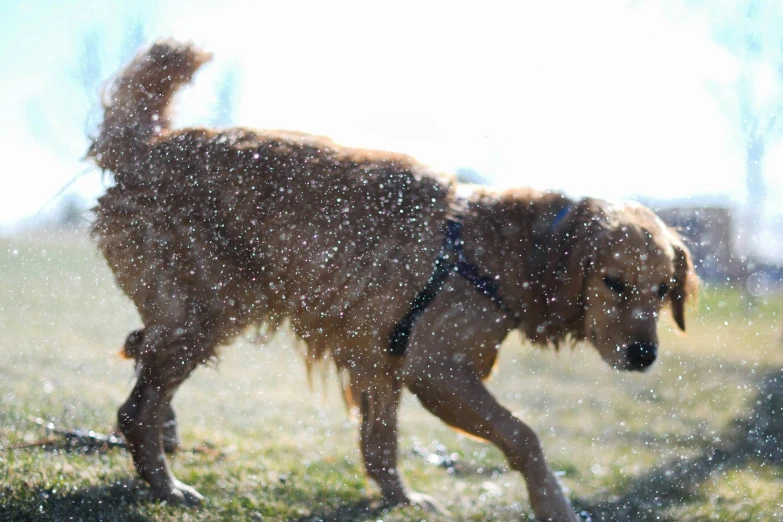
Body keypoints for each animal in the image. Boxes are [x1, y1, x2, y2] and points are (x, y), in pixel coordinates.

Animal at [87, 41, 700, 520]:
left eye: (662, 290)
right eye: (613, 282)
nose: (644, 354)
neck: (501, 248)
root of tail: (146, 148)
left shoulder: (381, 361)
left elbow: (380, 444)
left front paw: (399, 499)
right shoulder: (435, 370)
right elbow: (523, 434)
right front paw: (553, 504)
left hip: (193, 312)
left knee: (140, 351)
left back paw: (167, 437)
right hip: (210, 310)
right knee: (136, 405)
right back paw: (167, 485)